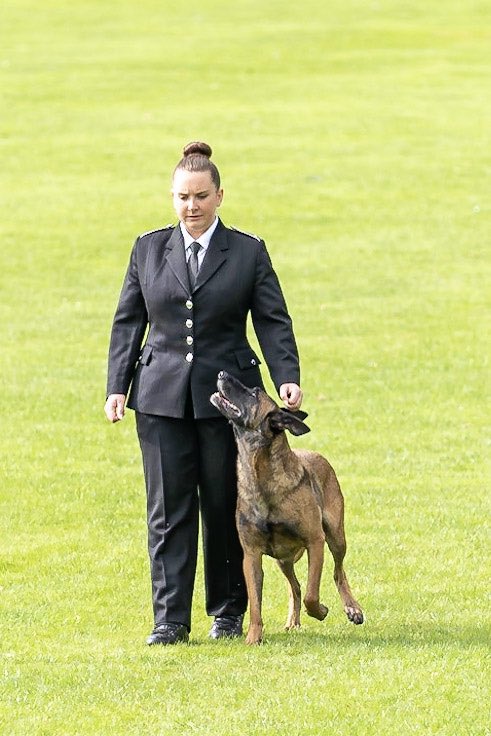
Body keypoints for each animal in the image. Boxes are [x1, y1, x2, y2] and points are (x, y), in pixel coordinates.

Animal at [209, 370, 364, 640]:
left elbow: (313, 594)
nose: (221, 373)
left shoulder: (315, 541)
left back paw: (352, 608)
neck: (260, 479)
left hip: (336, 536)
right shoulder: (251, 556)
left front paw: (321, 611)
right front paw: (253, 639)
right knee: (295, 587)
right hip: (283, 558)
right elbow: (256, 605)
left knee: (338, 572)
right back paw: (293, 621)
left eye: (253, 393)